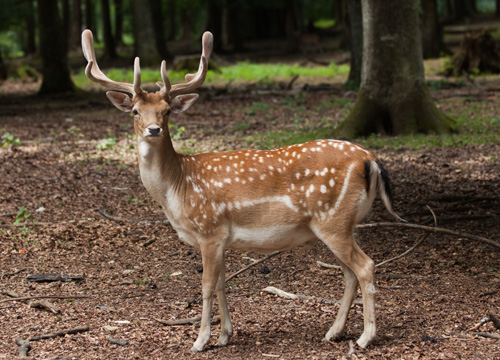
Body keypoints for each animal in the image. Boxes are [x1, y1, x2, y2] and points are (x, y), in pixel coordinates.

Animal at [82, 28, 402, 352]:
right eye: (135, 111)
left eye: (167, 111)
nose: (153, 129)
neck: (177, 188)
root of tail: (371, 159)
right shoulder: (222, 239)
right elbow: (222, 284)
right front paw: (225, 335)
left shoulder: (210, 229)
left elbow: (206, 286)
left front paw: (201, 340)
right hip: (342, 223)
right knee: (349, 273)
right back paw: (333, 332)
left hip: (333, 220)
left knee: (365, 266)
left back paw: (365, 337)